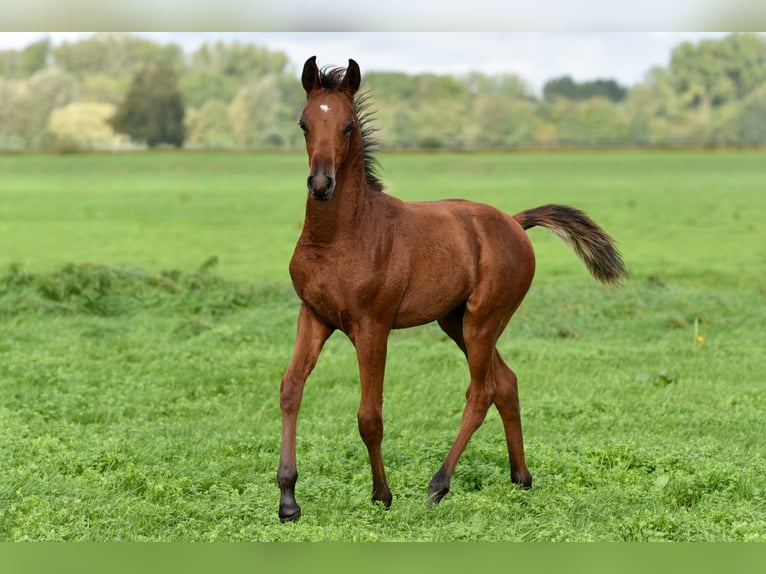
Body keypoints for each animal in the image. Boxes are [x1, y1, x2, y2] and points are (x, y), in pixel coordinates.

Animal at [277, 56, 626, 522]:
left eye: (348, 125)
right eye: (303, 123)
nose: (320, 184)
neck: (342, 235)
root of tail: (515, 222)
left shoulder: (372, 327)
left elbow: (370, 415)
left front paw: (382, 496)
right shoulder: (314, 314)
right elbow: (291, 390)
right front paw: (288, 500)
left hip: (483, 319)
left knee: (481, 391)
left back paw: (439, 485)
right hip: (455, 321)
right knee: (506, 381)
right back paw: (521, 478)